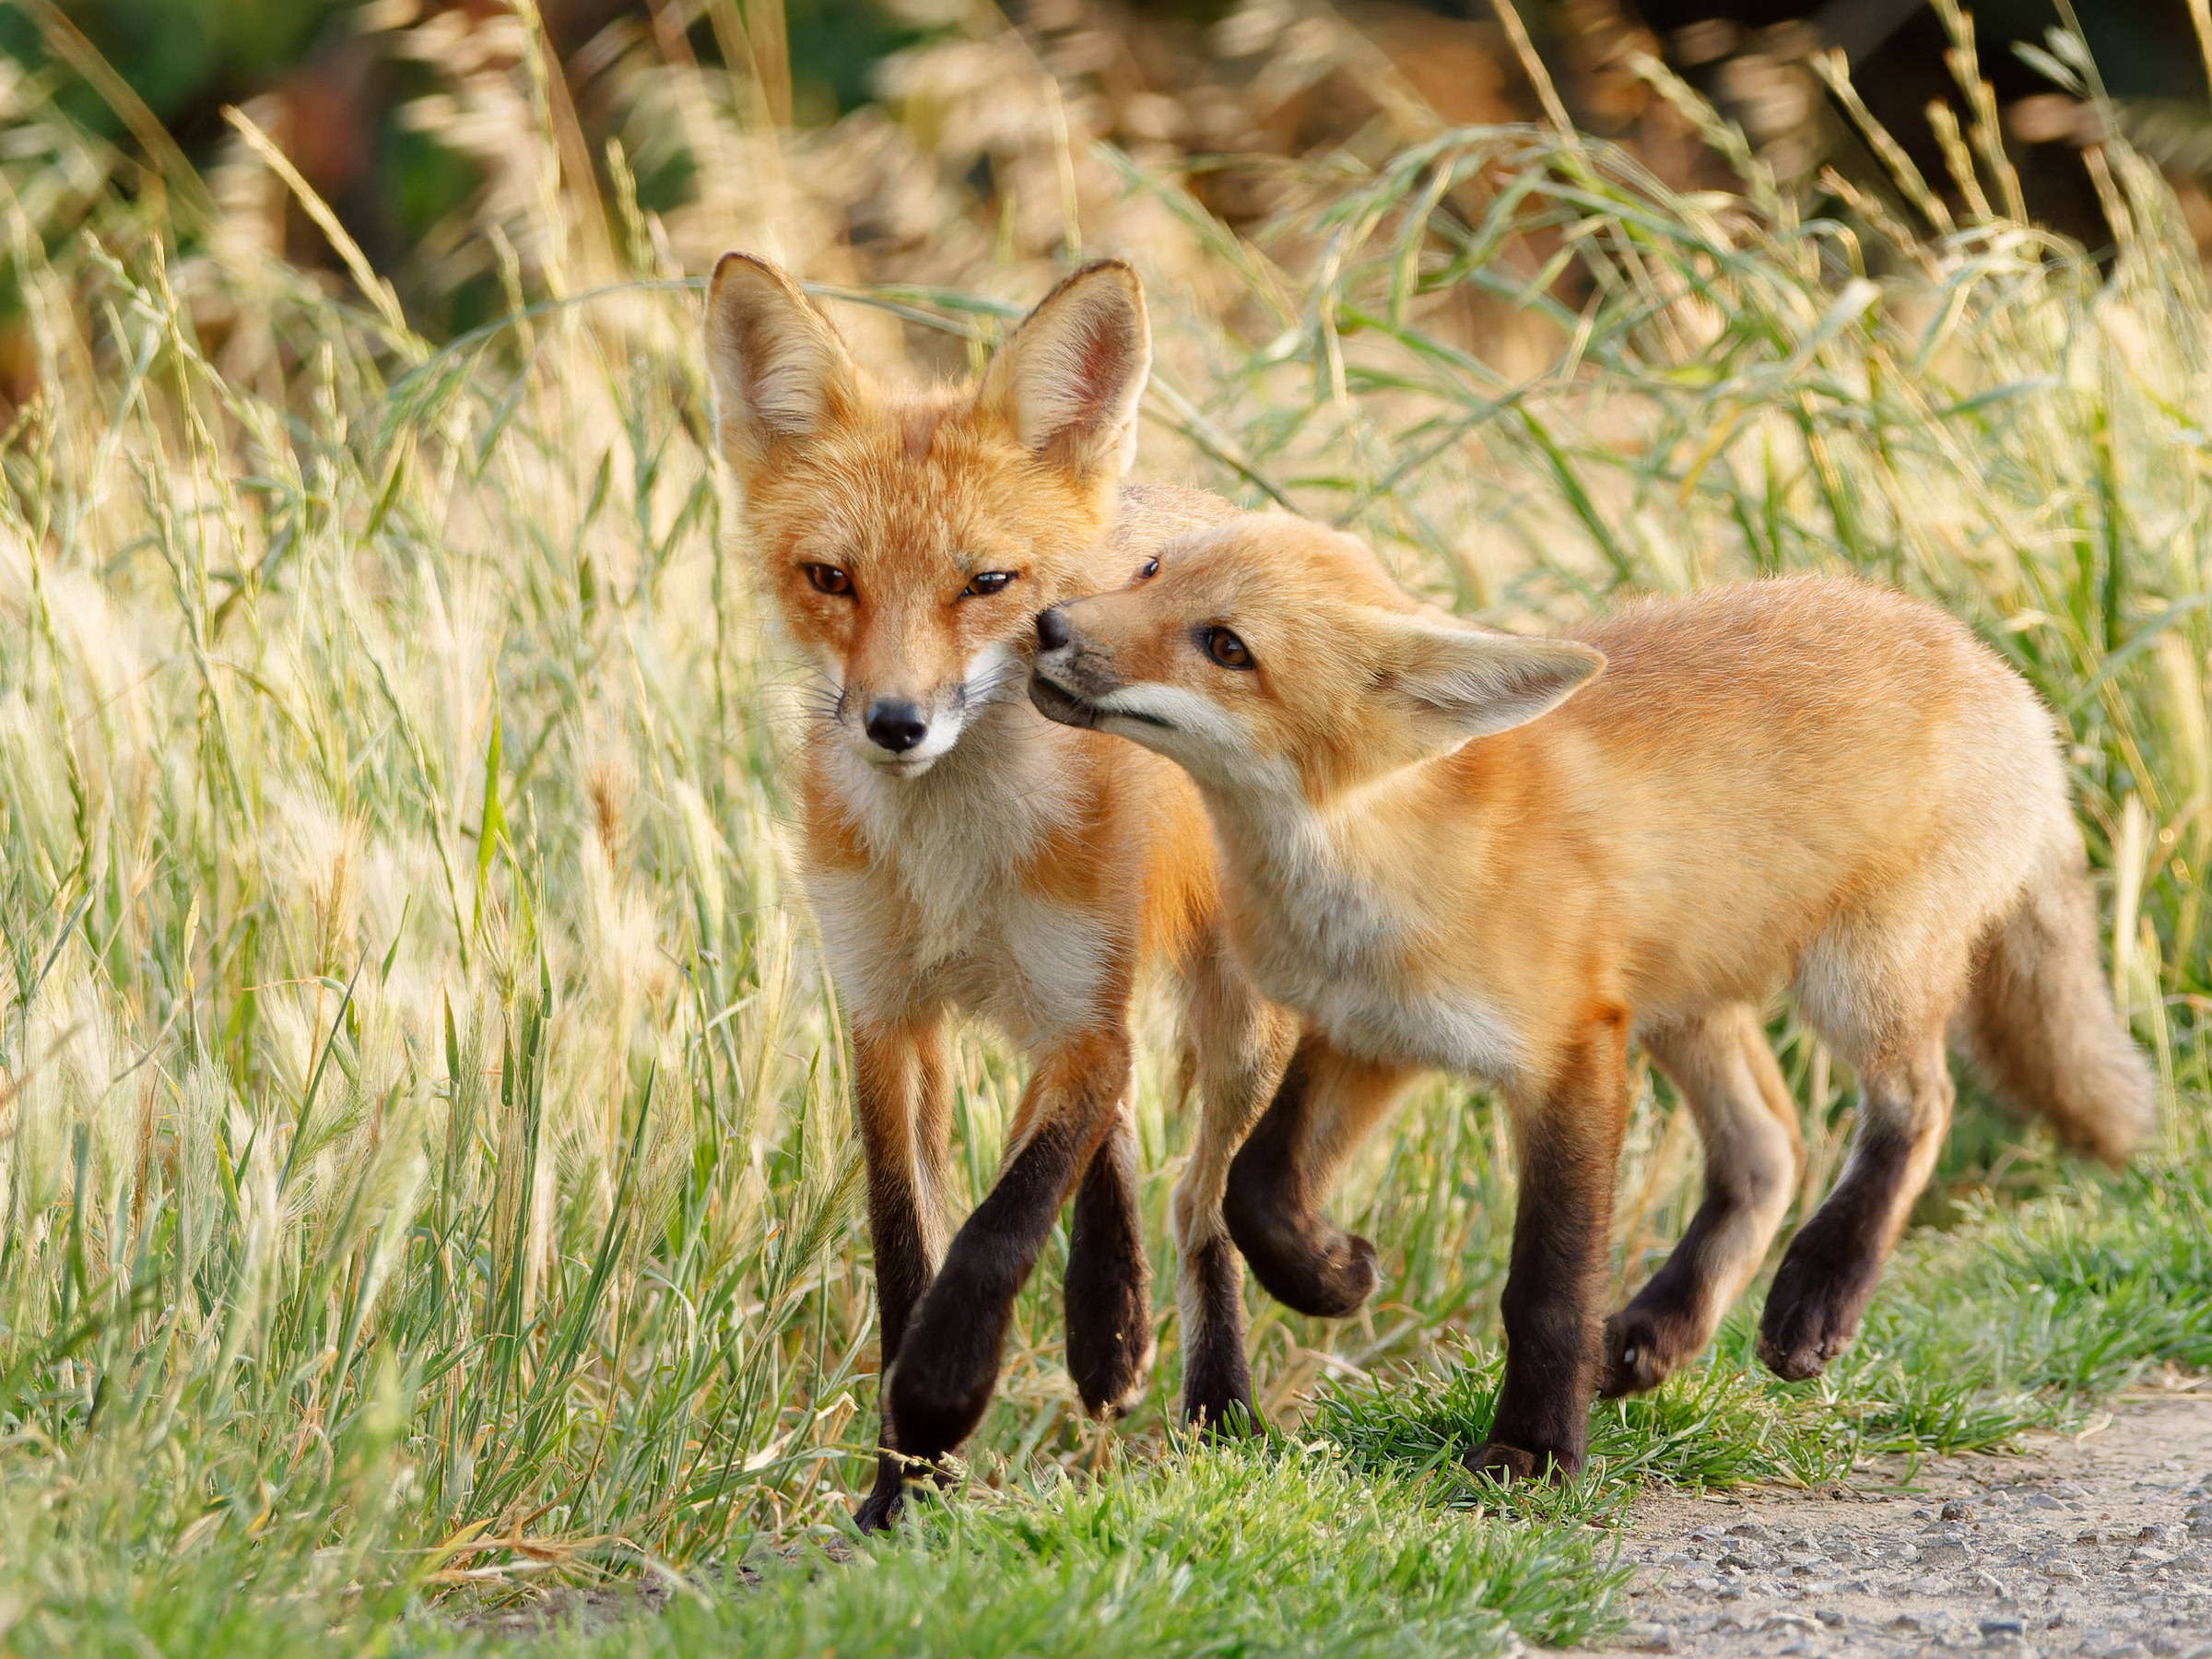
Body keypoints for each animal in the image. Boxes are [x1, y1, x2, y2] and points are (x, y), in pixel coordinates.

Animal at [703, 253, 1291, 1530]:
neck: (952, 872)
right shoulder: (888, 1020)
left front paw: (941, 1394)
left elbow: (1001, 1225)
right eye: (830, 579)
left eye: (986, 582)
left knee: (1199, 1199)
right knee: (1125, 1139)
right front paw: (900, 1490)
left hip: (1238, 1031)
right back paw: (1108, 1327)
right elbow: (908, 1255)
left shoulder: (1074, 1016)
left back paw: (1213, 1399)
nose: (893, 723)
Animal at [1026, 520, 2149, 1477]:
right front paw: (1334, 1275)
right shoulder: (1369, 1035)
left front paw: (1531, 1453)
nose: (1048, 625)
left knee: (1918, 1109)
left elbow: (1547, 1286)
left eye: (1226, 646)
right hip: (1685, 1008)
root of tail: (2002, 675)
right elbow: (1254, 1188)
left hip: (1855, 979)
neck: (1386, 863)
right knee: (1768, 1148)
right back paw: (1660, 1332)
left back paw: (1816, 1296)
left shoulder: (1569, 1056)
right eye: (1151, 571)